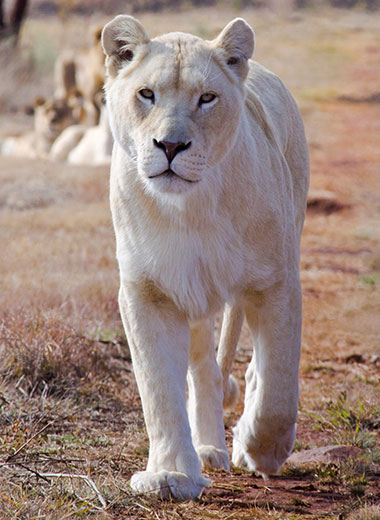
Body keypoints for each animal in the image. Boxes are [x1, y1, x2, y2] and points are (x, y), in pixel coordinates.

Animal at [101, 15, 308, 500]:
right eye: (147, 94)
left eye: (207, 98)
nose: (170, 146)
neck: (191, 210)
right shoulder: (148, 292)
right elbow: (159, 389)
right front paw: (171, 474)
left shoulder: (276, 283)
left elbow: (278, 386)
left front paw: (261, 449)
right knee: (204, 372)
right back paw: (208, 448)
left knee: (249, 374)